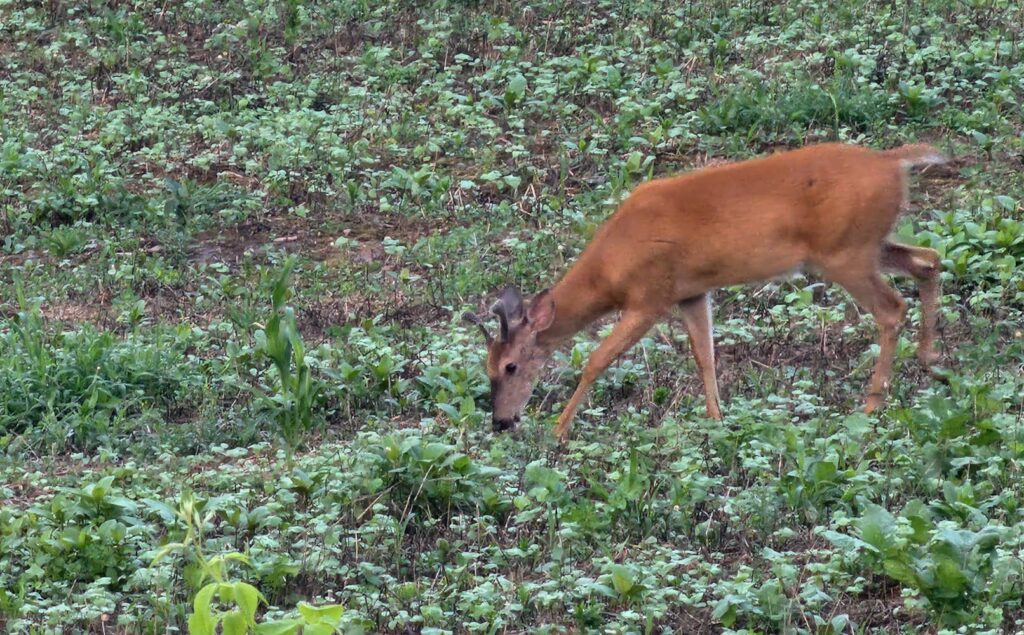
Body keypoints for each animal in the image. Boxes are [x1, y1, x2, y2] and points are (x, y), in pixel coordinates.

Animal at [463, 142, 949, 442]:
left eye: (509, 366)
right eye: (486, 367)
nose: (501, 421)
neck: (610, 268)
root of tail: (893, 162)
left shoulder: (650, 296)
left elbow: (597, 360)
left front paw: (559, 429)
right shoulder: (692, 293)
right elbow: (705, 356)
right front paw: (717, 421)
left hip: (845, 253)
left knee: (892, 308)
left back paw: (871, 403)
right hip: (866, 245)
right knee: (928, 258)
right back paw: (931, 359)